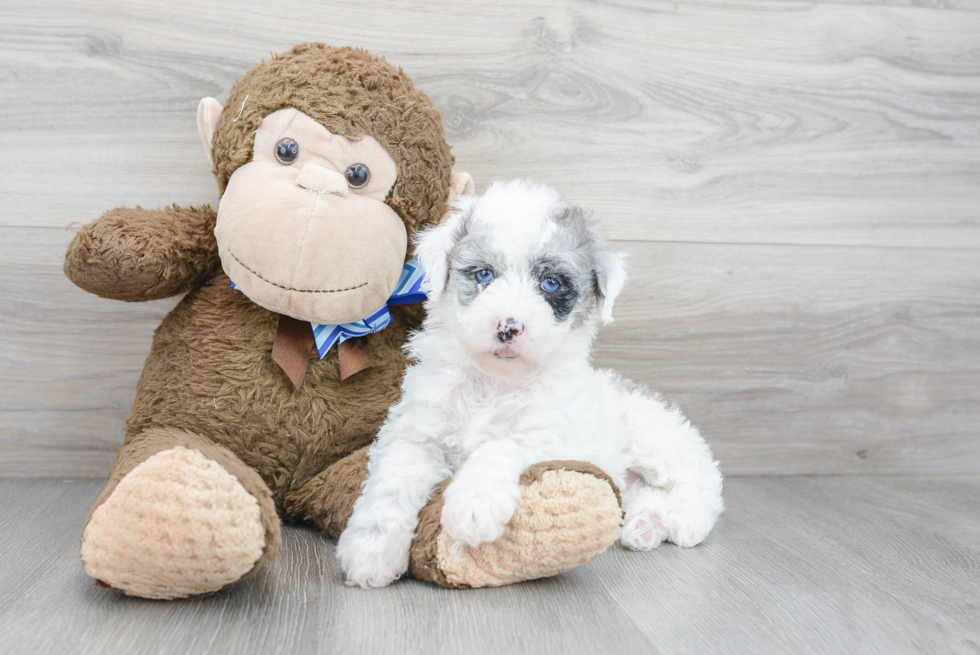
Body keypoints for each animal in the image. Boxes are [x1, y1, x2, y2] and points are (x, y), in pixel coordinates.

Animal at [340, 179, 724, 588]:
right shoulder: (418, 433)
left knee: (700, 484)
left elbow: (501, 446)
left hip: (653, 435)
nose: (508, 327)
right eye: (484, 275)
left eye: (551, 283)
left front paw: (473, 504)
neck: (494, 383)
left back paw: (684, 521)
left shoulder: (552, 438)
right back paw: (644, 525)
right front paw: (370, 550)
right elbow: (393, 479)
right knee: (648, 495)